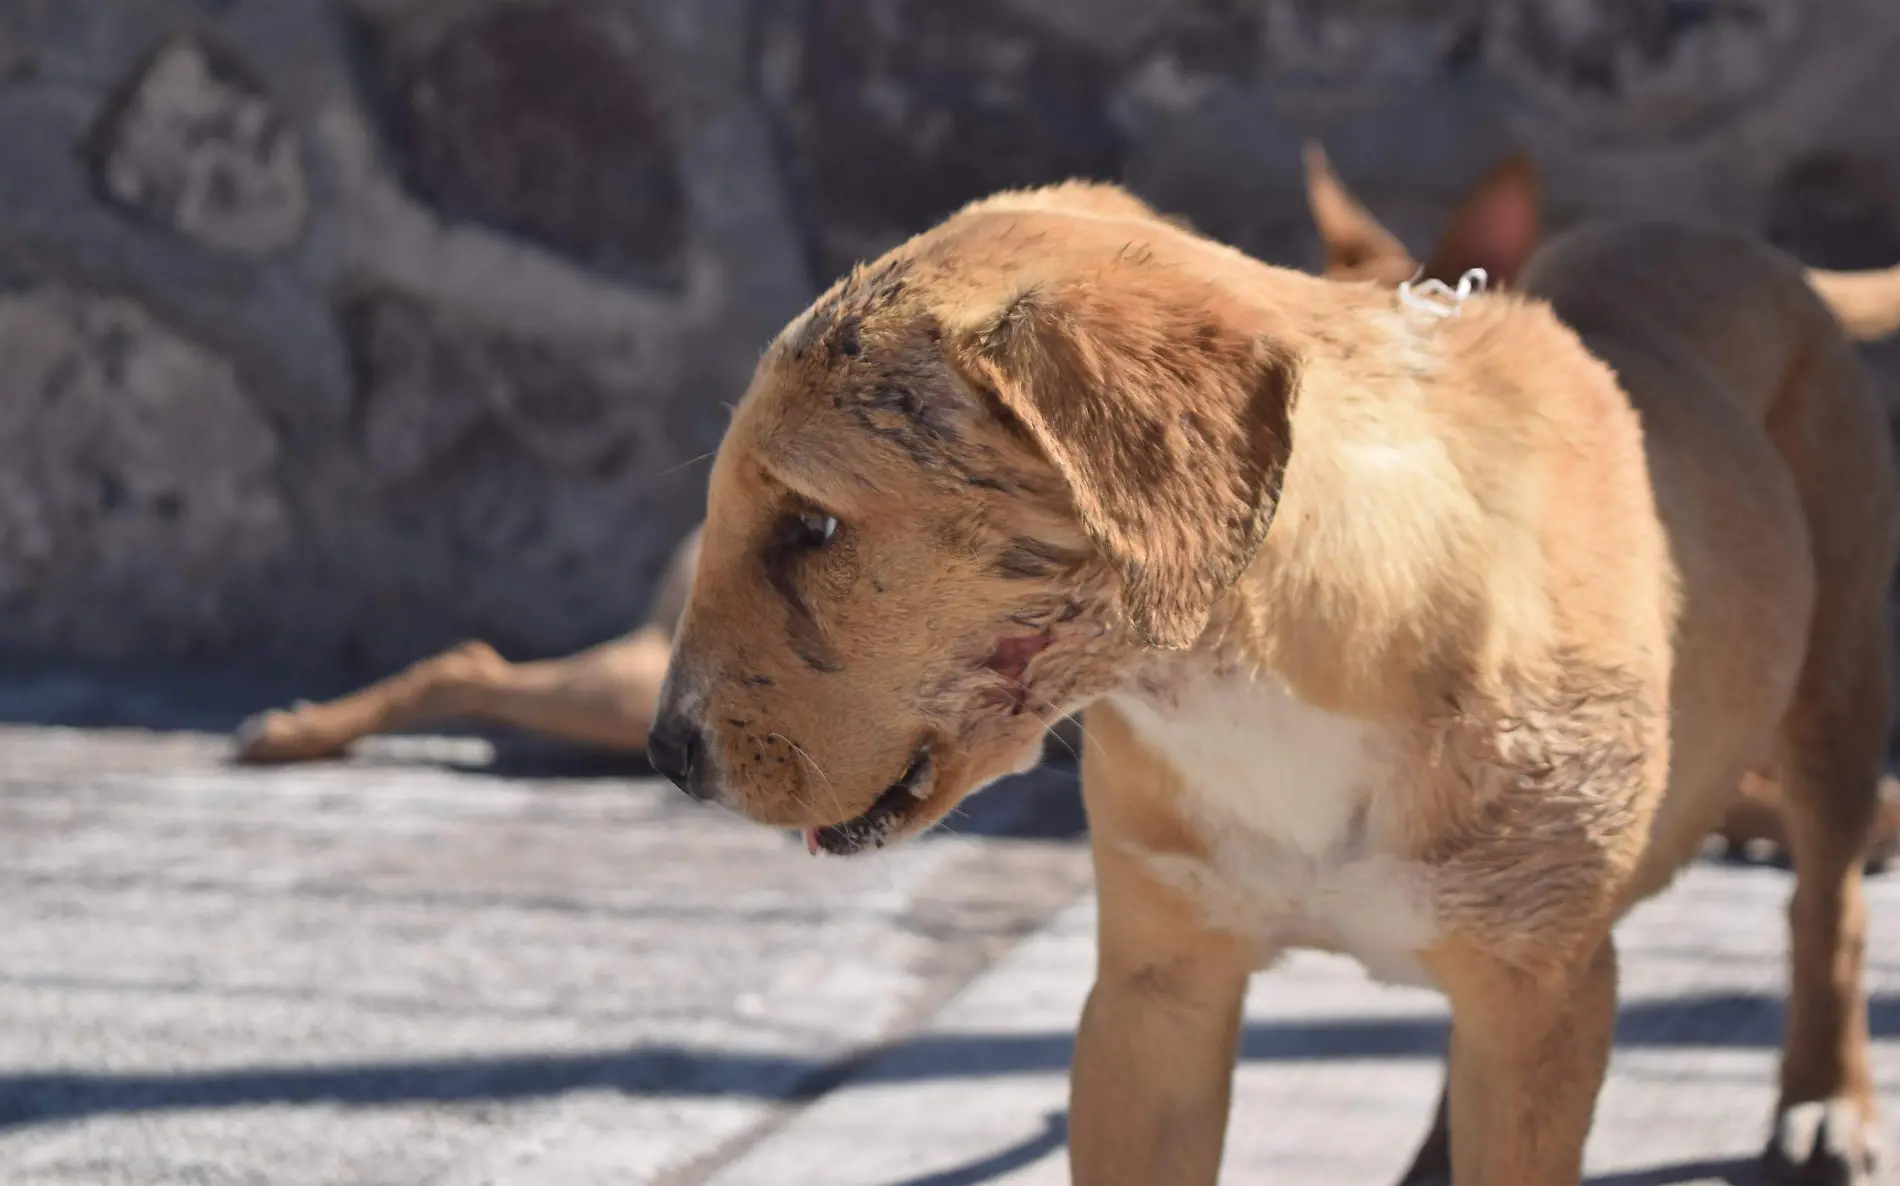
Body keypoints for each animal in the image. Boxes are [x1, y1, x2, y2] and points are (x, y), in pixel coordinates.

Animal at [642, 178, 1900, 1186]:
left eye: (811, 526)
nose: (665, 756)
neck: (1256, 678)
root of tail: (1758, 254)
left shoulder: (1540, 994)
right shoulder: (1153, 995)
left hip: (1833, 704)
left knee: (1825, 907)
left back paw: (1822, 1102)